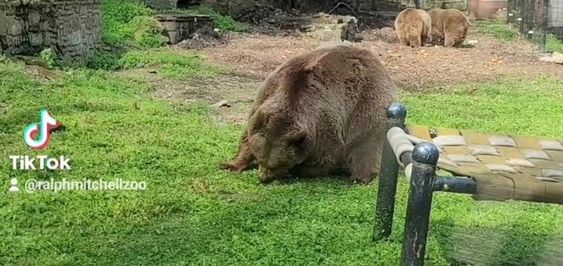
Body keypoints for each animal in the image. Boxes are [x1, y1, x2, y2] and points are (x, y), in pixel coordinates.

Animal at [223, 43, 398, 185]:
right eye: (261, 159)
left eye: (277, 164)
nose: (263, 178)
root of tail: (371, 56)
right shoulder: (266, 94)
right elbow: (247, 138)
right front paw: (231, 164)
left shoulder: (323, 125)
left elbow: (326, 158)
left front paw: (296, 170)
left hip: (368, 101)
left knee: (365, 141)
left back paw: (361, 177)